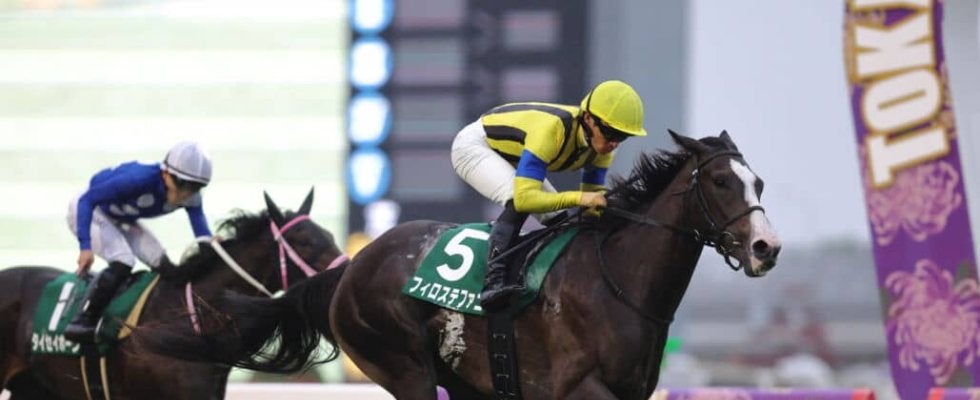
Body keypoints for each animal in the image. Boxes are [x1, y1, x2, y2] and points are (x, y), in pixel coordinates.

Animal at [140, 130, 782, 400]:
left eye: (758, 181)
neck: (617, 283)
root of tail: (350, 269)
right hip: (403, 366)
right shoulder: (578, 388)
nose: (765, 247)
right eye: (720, 181)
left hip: (468, 381)